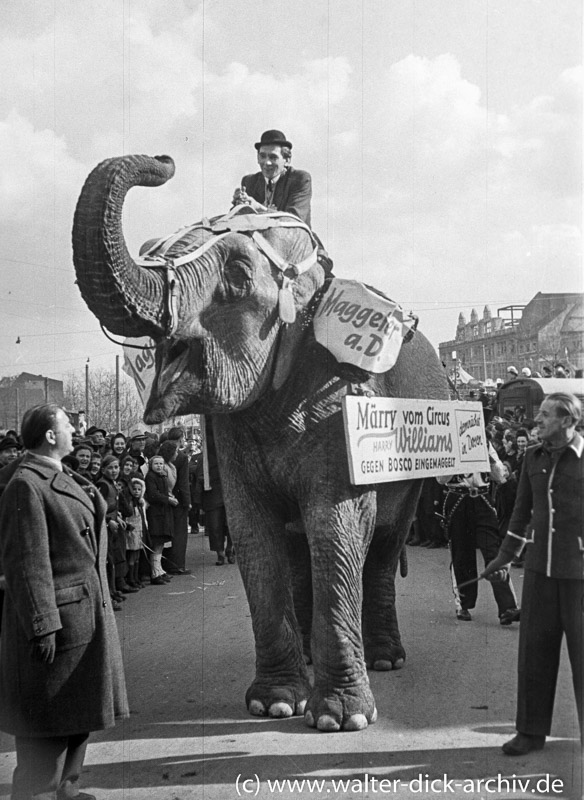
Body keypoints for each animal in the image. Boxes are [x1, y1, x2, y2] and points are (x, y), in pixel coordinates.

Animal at [72, 153, 448, 736]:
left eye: (238, 276)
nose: (164, 160)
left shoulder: (337, 396)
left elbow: (337, 525)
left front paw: (341, 719)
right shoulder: (234, 434)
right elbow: (255, 533)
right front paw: (273, 705)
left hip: (413, 476)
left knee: (385, 543)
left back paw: (386, 658)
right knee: (299, 547)